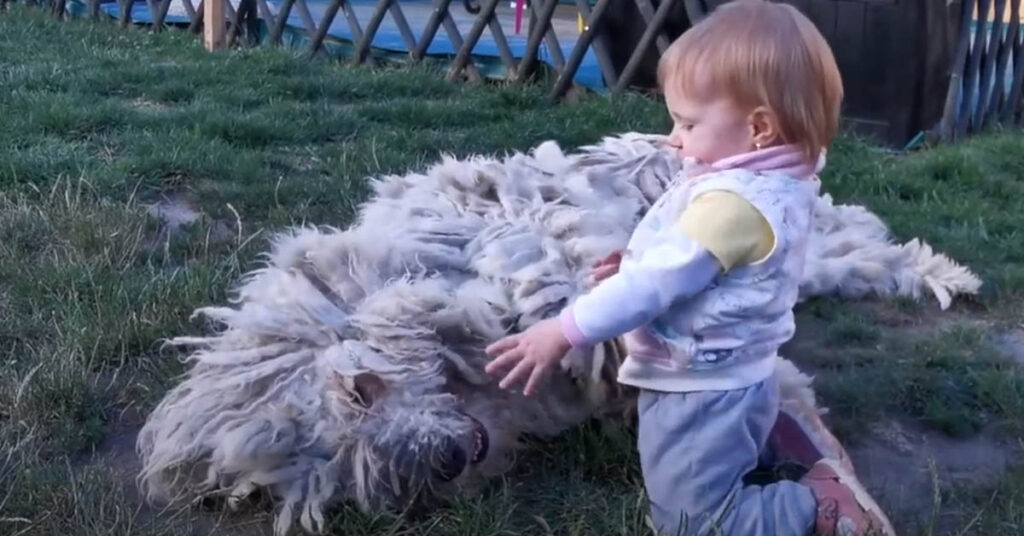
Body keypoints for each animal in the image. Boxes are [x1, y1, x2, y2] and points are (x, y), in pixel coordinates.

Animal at [134, 132, 974, 532]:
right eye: (336, 475)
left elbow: (574, 286)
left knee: (841, 229)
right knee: (849, 250)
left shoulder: (521, 244)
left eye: (360, 390)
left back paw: (946, 275)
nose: (441, 464)